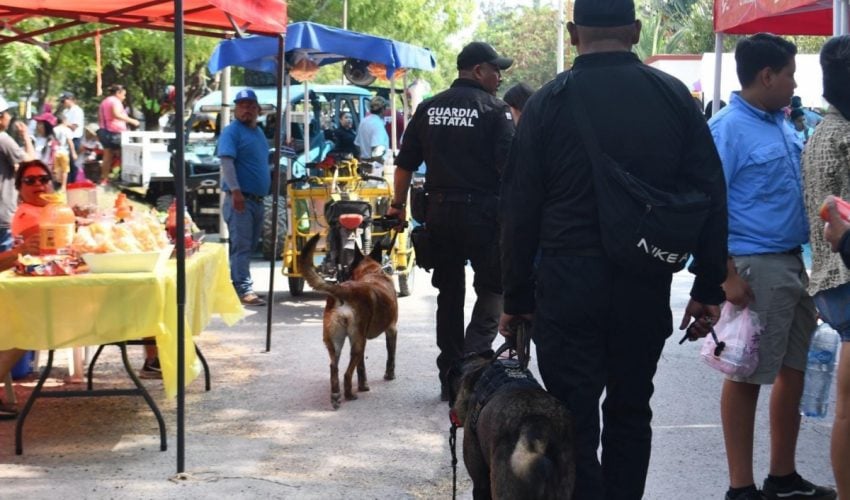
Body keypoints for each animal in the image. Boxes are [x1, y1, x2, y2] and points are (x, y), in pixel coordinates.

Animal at [298, 234, 398, 410]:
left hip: (337, 342)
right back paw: (349, 394)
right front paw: (389, 375)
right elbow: (390, 356)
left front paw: (363, 385)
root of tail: (343, 290)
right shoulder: (392, 330)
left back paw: (336, 395)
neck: (371, 271)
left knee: (334, 367)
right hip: (357, 343)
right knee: (346, 373)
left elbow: (361, 368)